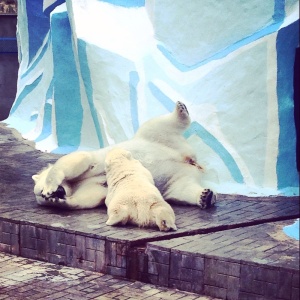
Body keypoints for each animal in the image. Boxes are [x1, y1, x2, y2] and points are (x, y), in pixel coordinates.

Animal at [32, 101, 216, 209]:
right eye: (39, 196)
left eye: (40, 190)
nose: (58, 193)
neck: (73, 184)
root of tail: (189, 159)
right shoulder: (91, 187)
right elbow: (88, 197)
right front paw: (59, 201)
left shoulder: (88, 164)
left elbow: (78, 160)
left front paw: (51, 187)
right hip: (177, 176)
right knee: (181, 189)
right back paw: (205, 196)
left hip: (156, 139)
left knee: (157, 125)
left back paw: (180, 110)